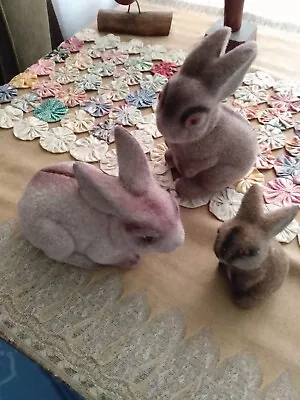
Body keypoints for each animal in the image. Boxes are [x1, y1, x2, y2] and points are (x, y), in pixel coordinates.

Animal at [157, 26, 258, 200]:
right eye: (160, 96)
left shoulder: (208, 158)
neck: (209, 130)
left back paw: (186, 187)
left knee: (208, 187)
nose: (164, 127)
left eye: (194, 121)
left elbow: (198, 165)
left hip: (218, 175)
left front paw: (185, 172)